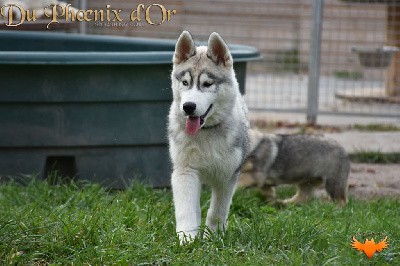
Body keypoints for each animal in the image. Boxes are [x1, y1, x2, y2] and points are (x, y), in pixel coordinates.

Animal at [169, 31, 250, 243]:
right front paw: (187, 239)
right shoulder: (185, 171)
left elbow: (217, 211)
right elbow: (187, 210)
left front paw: (213, 236)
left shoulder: (227, 176)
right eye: (185, 83)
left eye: (207, 84)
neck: (205, 132)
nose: (188, 107)